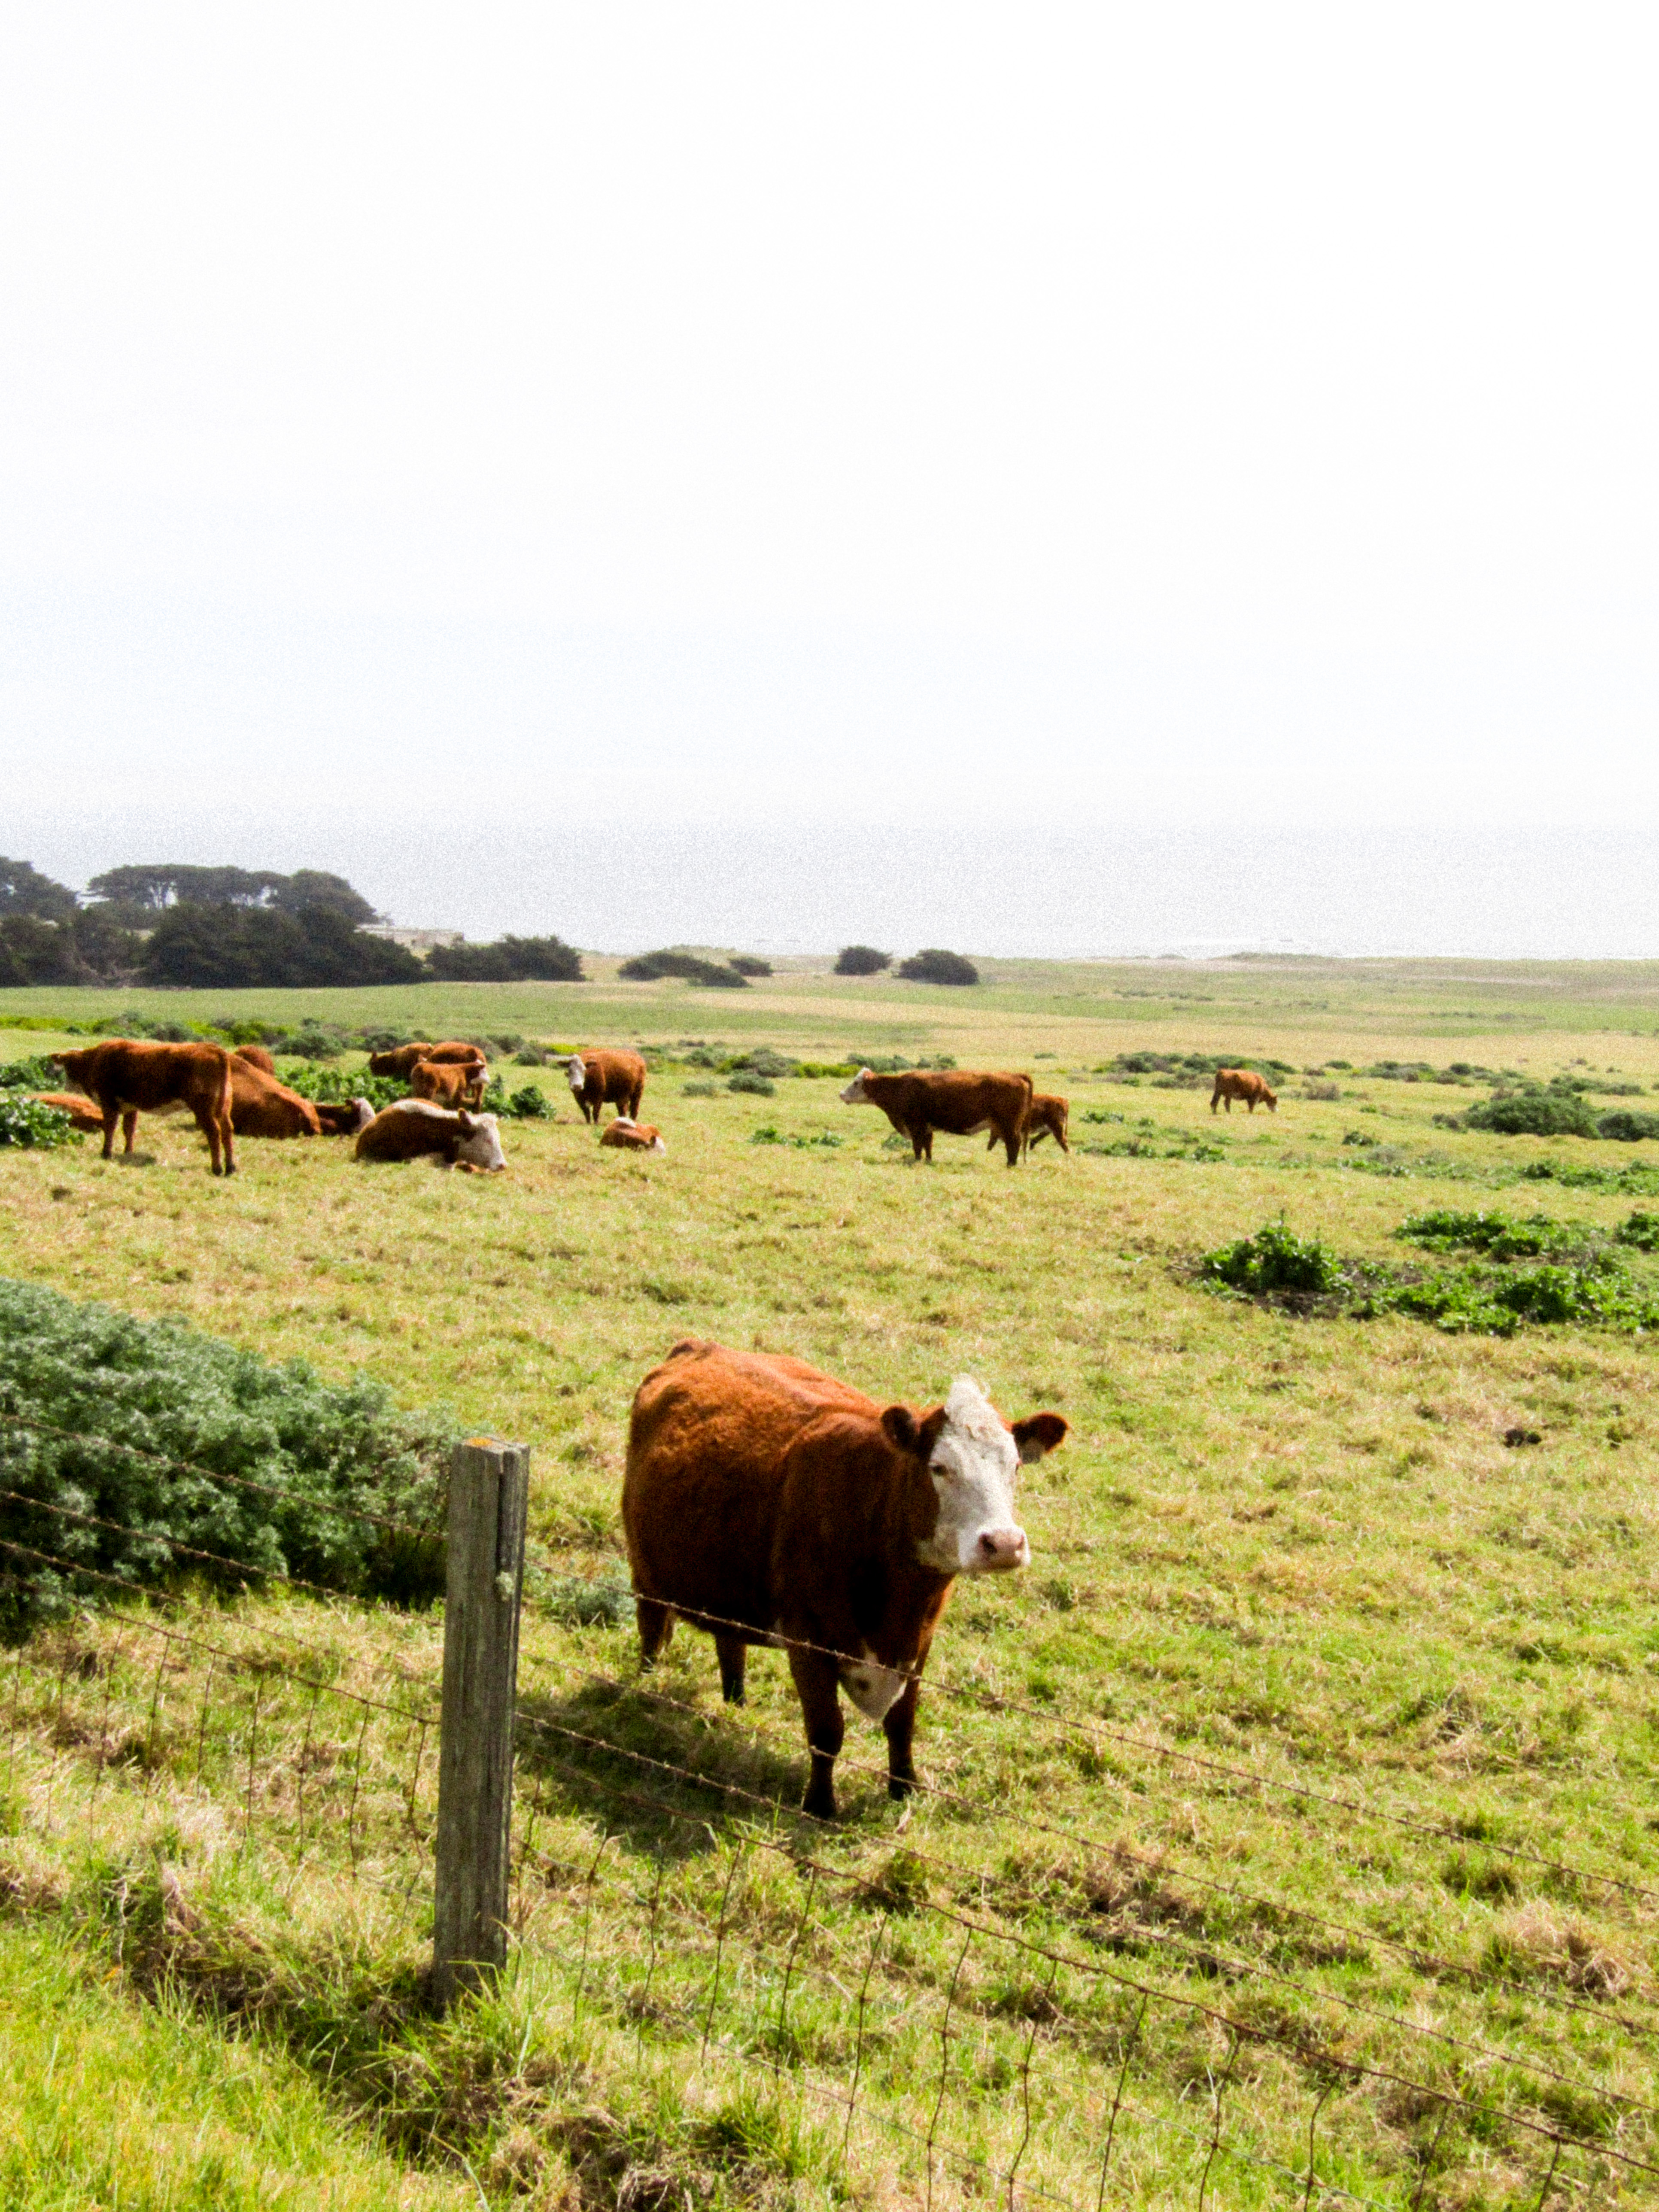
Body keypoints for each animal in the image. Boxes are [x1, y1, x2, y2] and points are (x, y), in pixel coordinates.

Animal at [54, 1041, 237, 1174]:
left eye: (69, 1066)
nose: (66, 1086)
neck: (95, 1060)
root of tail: (212, 1048)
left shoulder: (108, 1103)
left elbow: (110, 1128)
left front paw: (106, 1153)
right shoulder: (130, 1106)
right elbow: (129, 1129)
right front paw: (128, 1153)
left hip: (203, 1109)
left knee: (214, 1133)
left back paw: (217, 1169)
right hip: (223, 1108)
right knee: (227, 1130)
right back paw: (230, 1168)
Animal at [565, 1049, 646, 1124]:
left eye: (584, 1070)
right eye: (570, 1071)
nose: (577, 1086)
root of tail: (640, 1060)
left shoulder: (599, 1098)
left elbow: (596, 1112)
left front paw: (596, 1123)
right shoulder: (579, 1099)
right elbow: (586, 1113)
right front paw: (588, 1123)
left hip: (637, 1095)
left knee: (634, 1110)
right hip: (622, 1098)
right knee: (623, 1110)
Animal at [622, 1339, 1067, 1819]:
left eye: (1016, 1466)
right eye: (940, 1468)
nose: (1003, 1543)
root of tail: (700, 1346)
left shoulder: (920, 1641)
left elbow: (902, 1721)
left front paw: (904, 1787)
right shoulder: (808, 1640)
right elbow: (826, 1730)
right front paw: (819, 1804)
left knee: (731, 1641)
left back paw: (736, 1701)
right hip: (644, 1573)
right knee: (652, 1632)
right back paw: (646, 1687)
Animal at [840, 1068, 1033, 1167]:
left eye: (856, 1083)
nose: (841, 1094)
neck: (900, 1087)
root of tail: (1016, 1075)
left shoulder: (916, 1125)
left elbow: (918, 1147)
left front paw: (917, 1161)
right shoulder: (927, 1127)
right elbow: (928, 1146)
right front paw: (928, 1161)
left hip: (1009, 1125)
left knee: (1014, 1143)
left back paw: (1011, 1164)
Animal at [1210, 1068, 1277, 1115]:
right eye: (1274, 1102)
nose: (1276, 1111)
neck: (1262, 1085)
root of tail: (1222, 1072)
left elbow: (1250, 1106)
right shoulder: (1254, 1098)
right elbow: (1252, 1106)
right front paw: (1251, 1113)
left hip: (1218, 1093)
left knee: (1214, 1102)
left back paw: (1215, 1113)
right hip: (1228, 1095)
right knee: (1226, 1103)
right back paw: (1229, 1113)